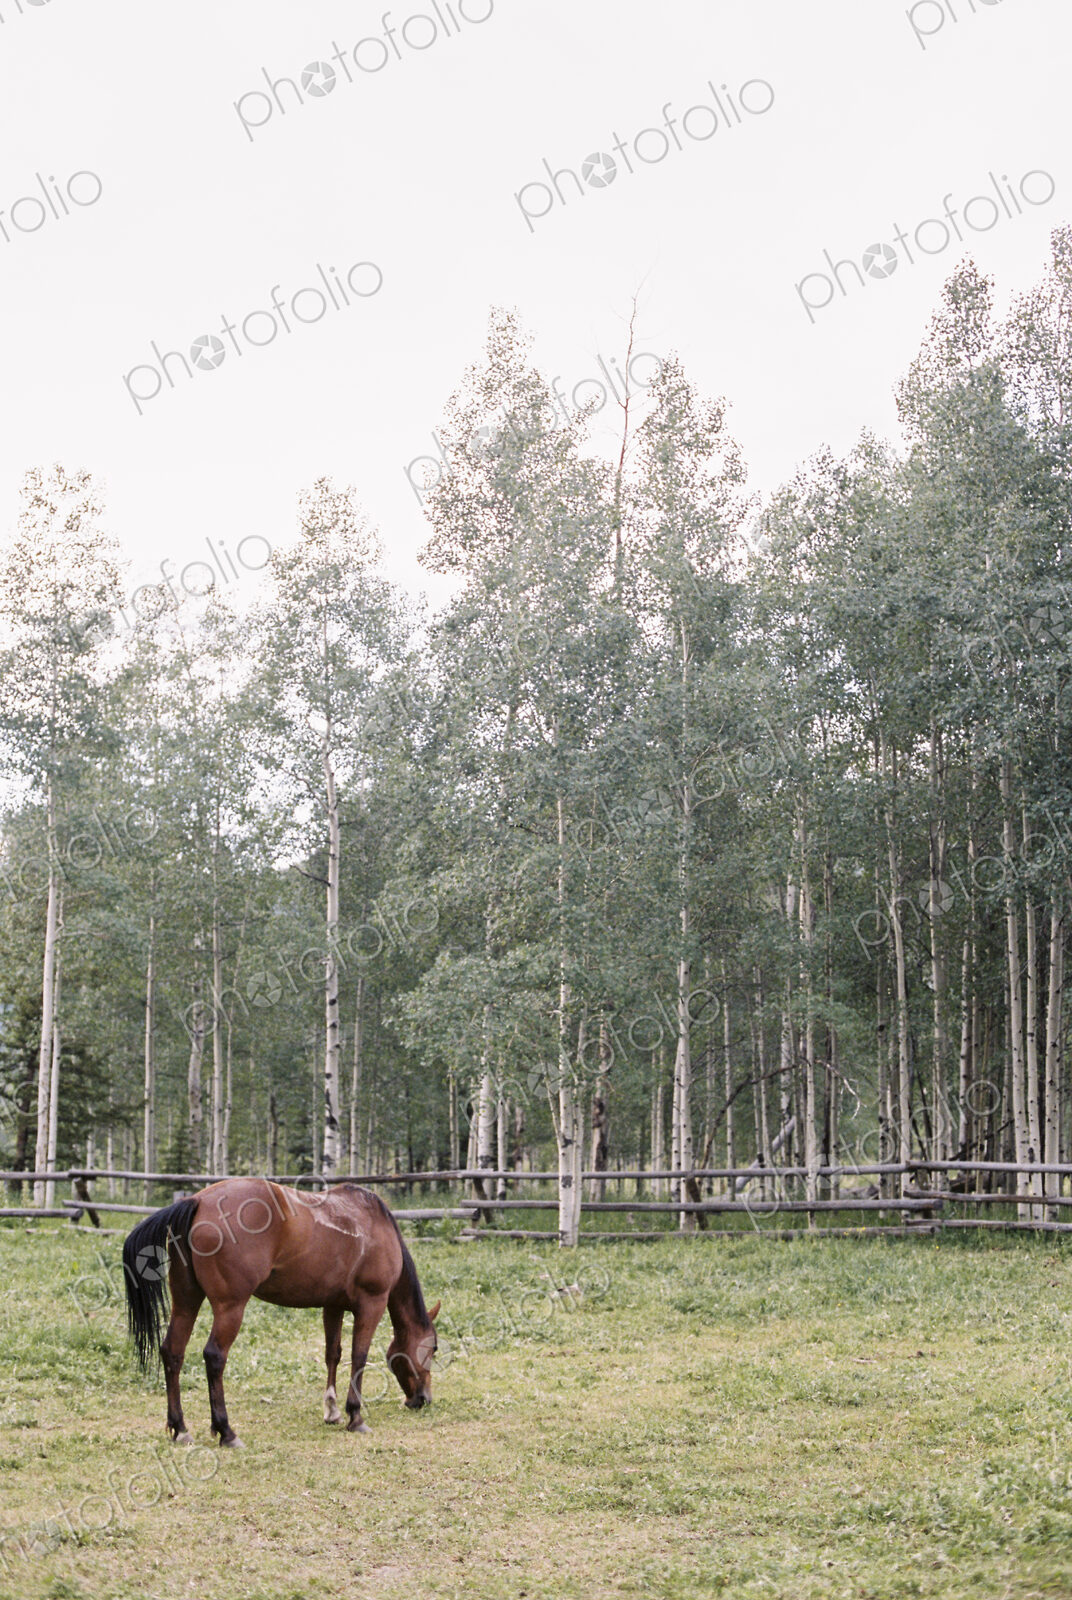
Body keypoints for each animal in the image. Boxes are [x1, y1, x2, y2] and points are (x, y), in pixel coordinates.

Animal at [122, 1178, 440, 1447]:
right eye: (434, 1348)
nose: (423, 1399)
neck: (374, 1224)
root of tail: (197, 1201)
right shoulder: (371, 1304)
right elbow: (358, 1357)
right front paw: (355, 1416)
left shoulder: (333, 1305)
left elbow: (333, 1354)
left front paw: (332, 1411)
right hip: (230, 1307)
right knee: (214, 1357)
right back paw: (227, 1432)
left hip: (186, 1301)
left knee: (173, 1352)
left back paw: (180, 1429)